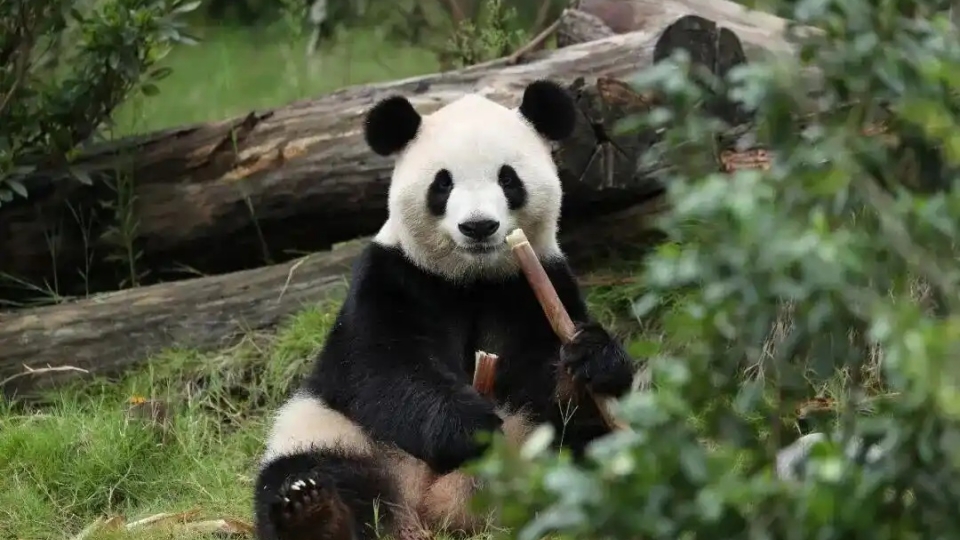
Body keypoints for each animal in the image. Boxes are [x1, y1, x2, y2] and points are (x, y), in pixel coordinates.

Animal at [253, 79, 639, 540]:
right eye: (443, 184)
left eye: (508, 178)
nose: (478, 226)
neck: (470, 279)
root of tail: (430, 509)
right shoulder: (393, 277)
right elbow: (380, 365)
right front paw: (467, 428)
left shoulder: (534, 284)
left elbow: (545, 374)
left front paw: (589, 359)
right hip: (334, 430)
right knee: (309, 469)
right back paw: (313, 511)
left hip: (534, 446)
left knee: (587, 447)